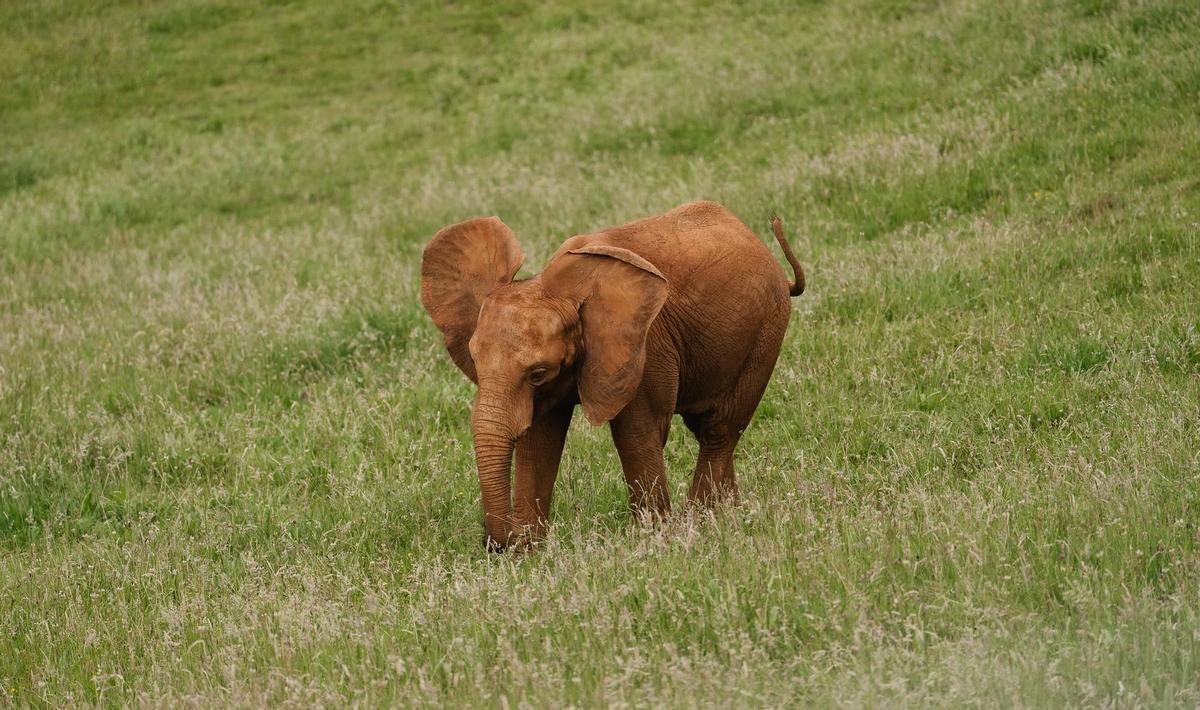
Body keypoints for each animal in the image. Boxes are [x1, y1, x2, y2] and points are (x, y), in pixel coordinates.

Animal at [422, 196, 806, 551]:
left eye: (538, 373)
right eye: (475, 360)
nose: (498, 544)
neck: (558, 289)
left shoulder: (644, 344)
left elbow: (636, 433)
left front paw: (654, 540)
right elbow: (539, 441)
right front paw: (529, 554)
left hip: (766, 334)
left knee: (719, 429)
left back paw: (701, 521)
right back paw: (730, 516)